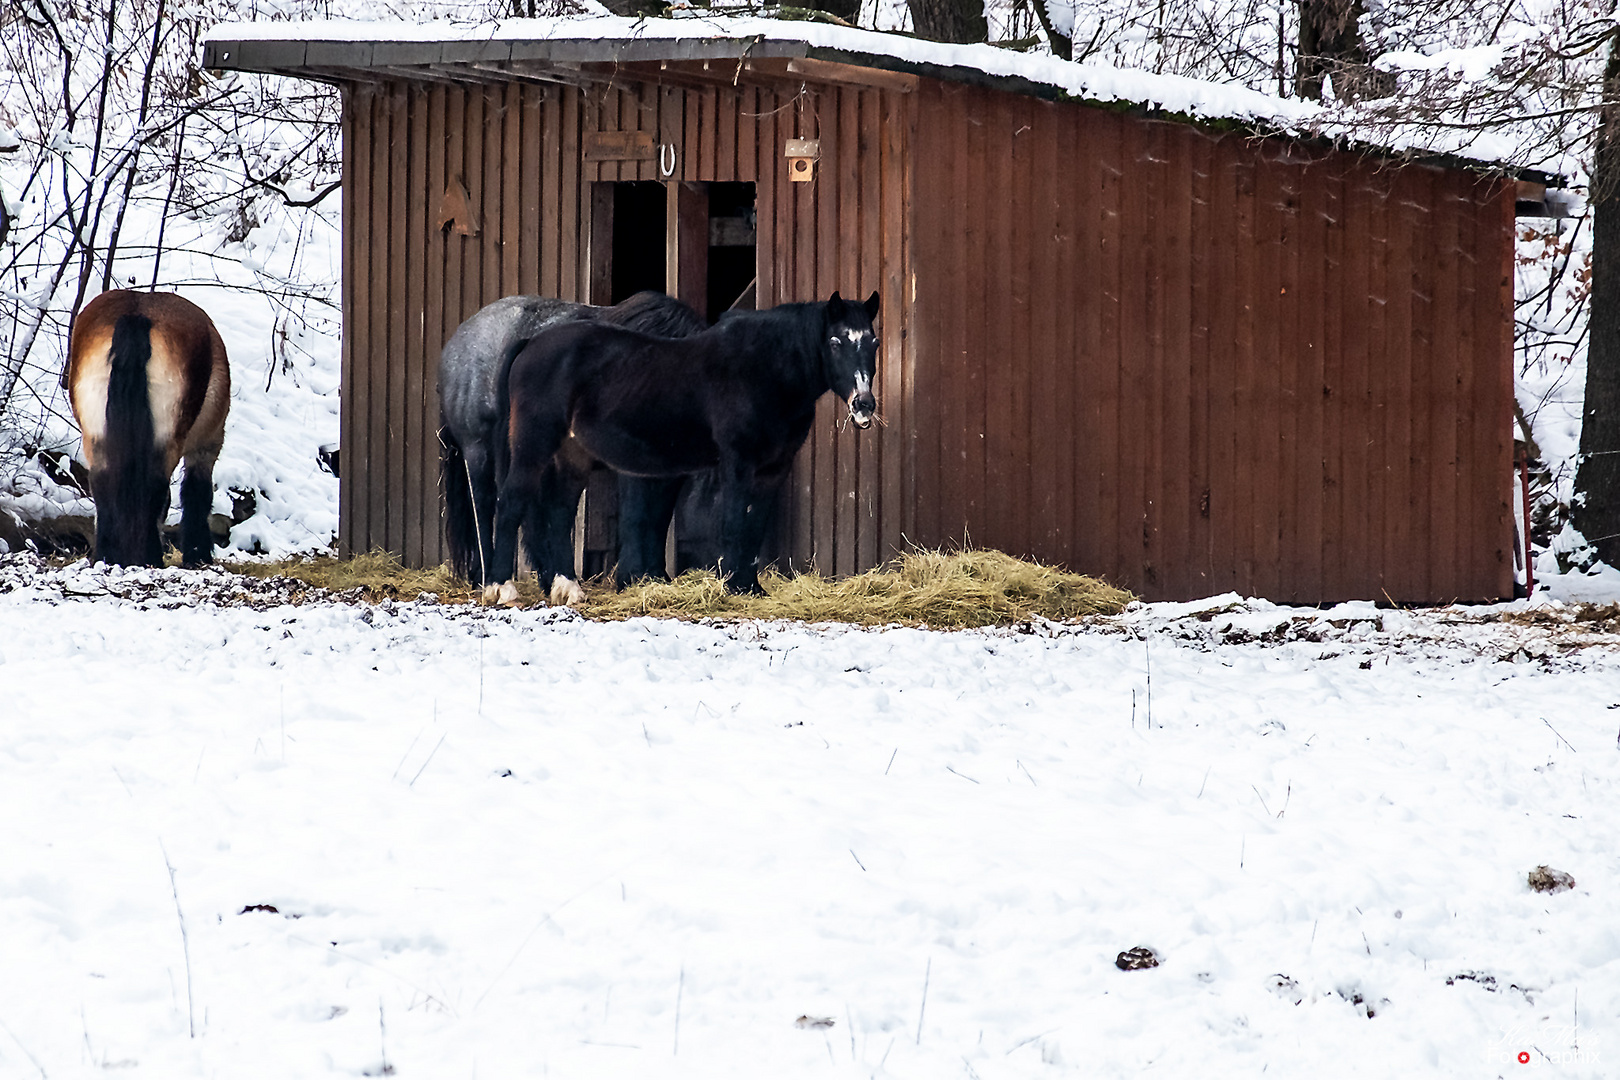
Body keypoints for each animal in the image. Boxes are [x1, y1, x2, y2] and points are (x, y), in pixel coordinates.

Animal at [66, 291, 230, 569]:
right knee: (156, 487)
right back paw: (150, 558)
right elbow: (196, 493)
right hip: (169, 440)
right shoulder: (207, 443)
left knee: (102, 485)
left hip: (95, 436)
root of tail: (135, 317)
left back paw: (107, 557)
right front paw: (198, 555)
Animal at [437, 289, 709, 582]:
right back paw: (490, 575)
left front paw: (654, 575)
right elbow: (637, 513)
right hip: (478, 450)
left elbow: (659, 515)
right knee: (485, 505)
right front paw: (632, 575)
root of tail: (455, 343)